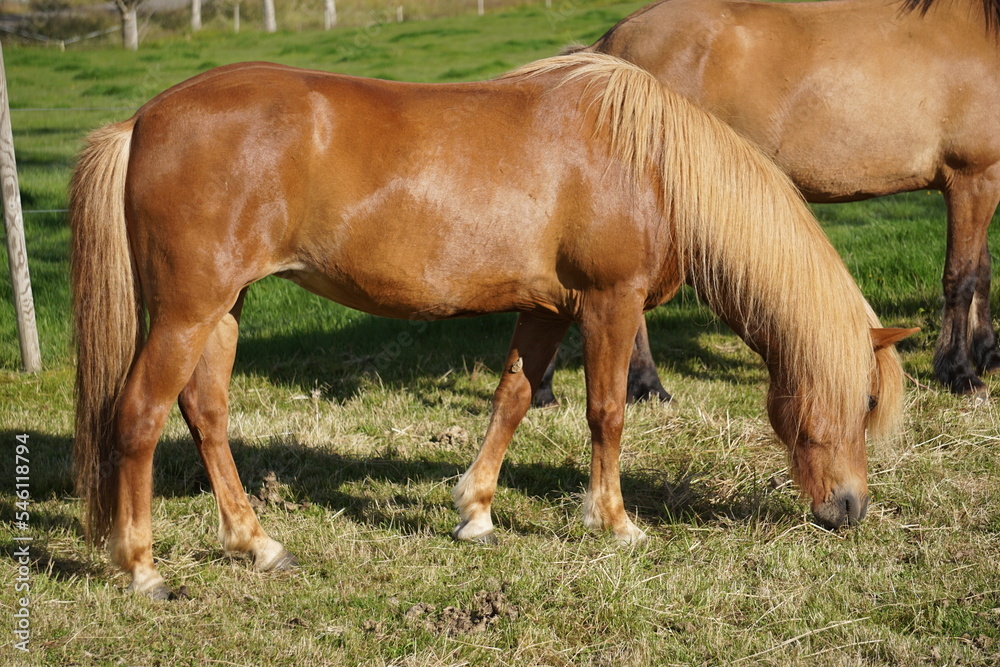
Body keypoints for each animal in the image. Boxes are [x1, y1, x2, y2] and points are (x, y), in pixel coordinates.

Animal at [70, 53, 912, 599]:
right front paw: (615, 523)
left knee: (205, 411)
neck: (650, 164)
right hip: (190, 308)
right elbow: (606, 412)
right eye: (866, 400)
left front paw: (474, 511)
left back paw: (258, 543)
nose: (849, 510)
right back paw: (142, 566)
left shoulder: (545, 308)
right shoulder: (609, 302)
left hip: (224, 307)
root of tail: (141, 121)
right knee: (139, 415)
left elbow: (513, 398)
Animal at [567, 0, 1000, 396]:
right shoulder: (973, 179)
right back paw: (646, 385)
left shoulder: (983, 184)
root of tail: (608, 44)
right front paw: (959, 372)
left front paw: (988, 354)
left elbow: (982, 270)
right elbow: (961, 277)